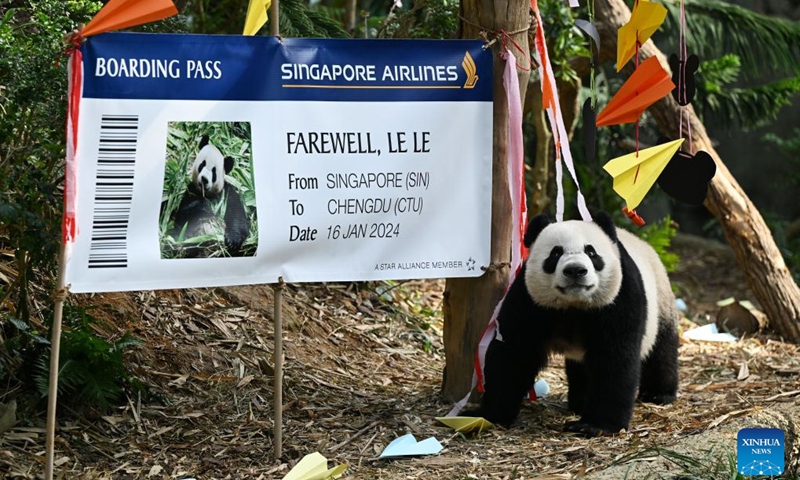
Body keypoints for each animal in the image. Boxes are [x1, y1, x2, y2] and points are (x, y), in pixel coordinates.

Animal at [467, 212, 679, 436]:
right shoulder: (530, 302)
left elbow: (614, 358)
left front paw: (594, 425)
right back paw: (580, 401)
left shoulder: (618, 299)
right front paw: (487, 415)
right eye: (555, 253)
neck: (574, 304)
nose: (576, 270)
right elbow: (513, 354)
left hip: (660, 299)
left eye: (591, 252)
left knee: (661, 348)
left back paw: (658, 394)